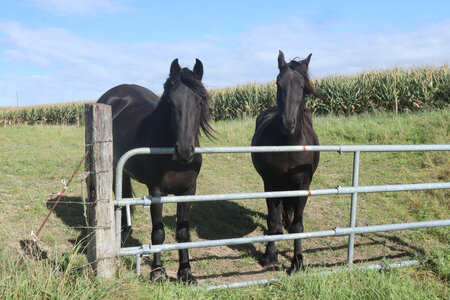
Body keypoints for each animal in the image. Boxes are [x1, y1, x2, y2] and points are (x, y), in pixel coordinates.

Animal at [97, 58, 214, 284]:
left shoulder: (188, 191)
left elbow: (183, 233)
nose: (184, 150)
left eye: (199, 102)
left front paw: (186, 273)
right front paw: (157, 272)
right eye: (171, 103)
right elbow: (158, 233)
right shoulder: (156, 192)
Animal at [251, 51, 326, 272]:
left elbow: (298, 226)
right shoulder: (271, 185)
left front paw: (298, 262)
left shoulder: (303, 186)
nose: (287, 123)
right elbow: (273, 223)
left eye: (302, 87)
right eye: (278, 83)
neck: (289, 145)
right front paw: (270, 257)